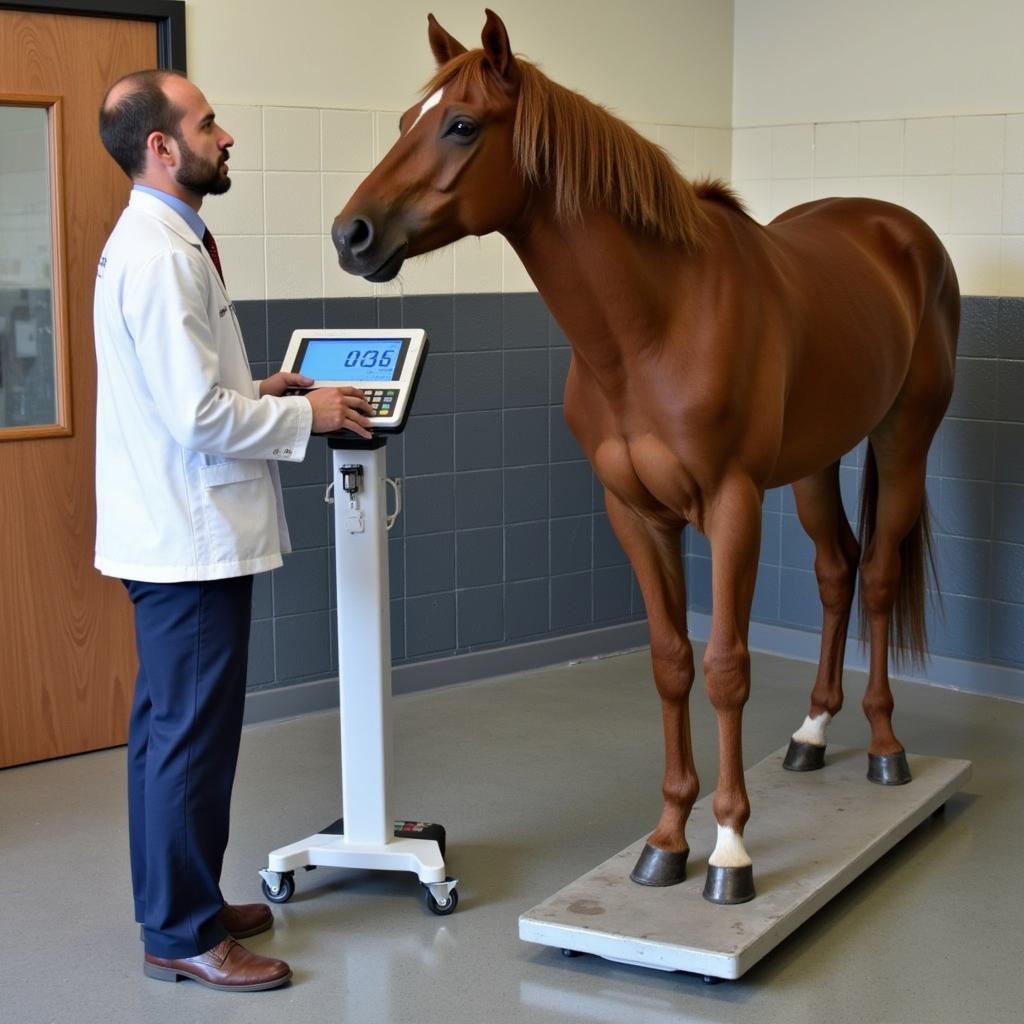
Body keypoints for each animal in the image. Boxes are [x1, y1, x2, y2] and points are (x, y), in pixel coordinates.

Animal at [329, 9, 958, 905]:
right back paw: (811, 732)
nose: (351, 234)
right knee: (837, 572)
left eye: (461, 125)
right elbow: (670, 665)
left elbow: (726, 666)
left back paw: (883, 749)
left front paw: (730, 849)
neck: (656, 325)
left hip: (906, 437)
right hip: (813, 463)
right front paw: (667, 839)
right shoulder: (633, 511)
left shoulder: (731, 505)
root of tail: (901, 232)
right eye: (402, 125)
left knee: (874, 578)